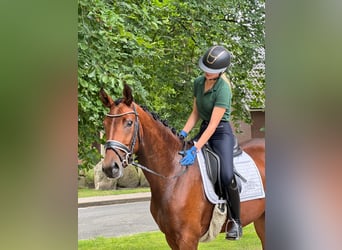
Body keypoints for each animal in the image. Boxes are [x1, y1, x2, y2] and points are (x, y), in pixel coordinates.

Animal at [98, 84, 264, 250]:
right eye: (105, 124)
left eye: (129, 122)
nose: (109, 167)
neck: (173, 175)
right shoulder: (171, 238)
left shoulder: (187, 238)